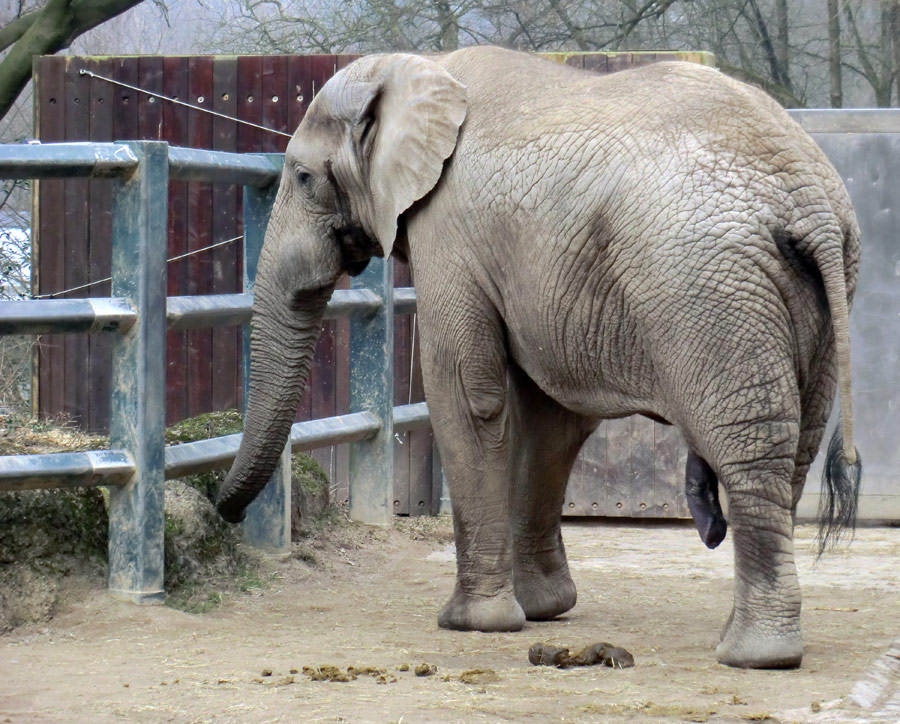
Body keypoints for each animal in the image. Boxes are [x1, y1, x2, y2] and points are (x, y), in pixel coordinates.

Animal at [213, 43, 864, 668]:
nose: (225, 511)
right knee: (793, 452)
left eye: (302, 178)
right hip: (814, 297)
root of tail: (811, 203)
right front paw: (545, 610)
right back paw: (747, 637)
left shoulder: (448, 229)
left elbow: (465, 394)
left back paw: (754, 655)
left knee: (748, 447)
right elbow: (550, 419)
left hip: (707, 289)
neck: (418, 68)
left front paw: (470, 623)